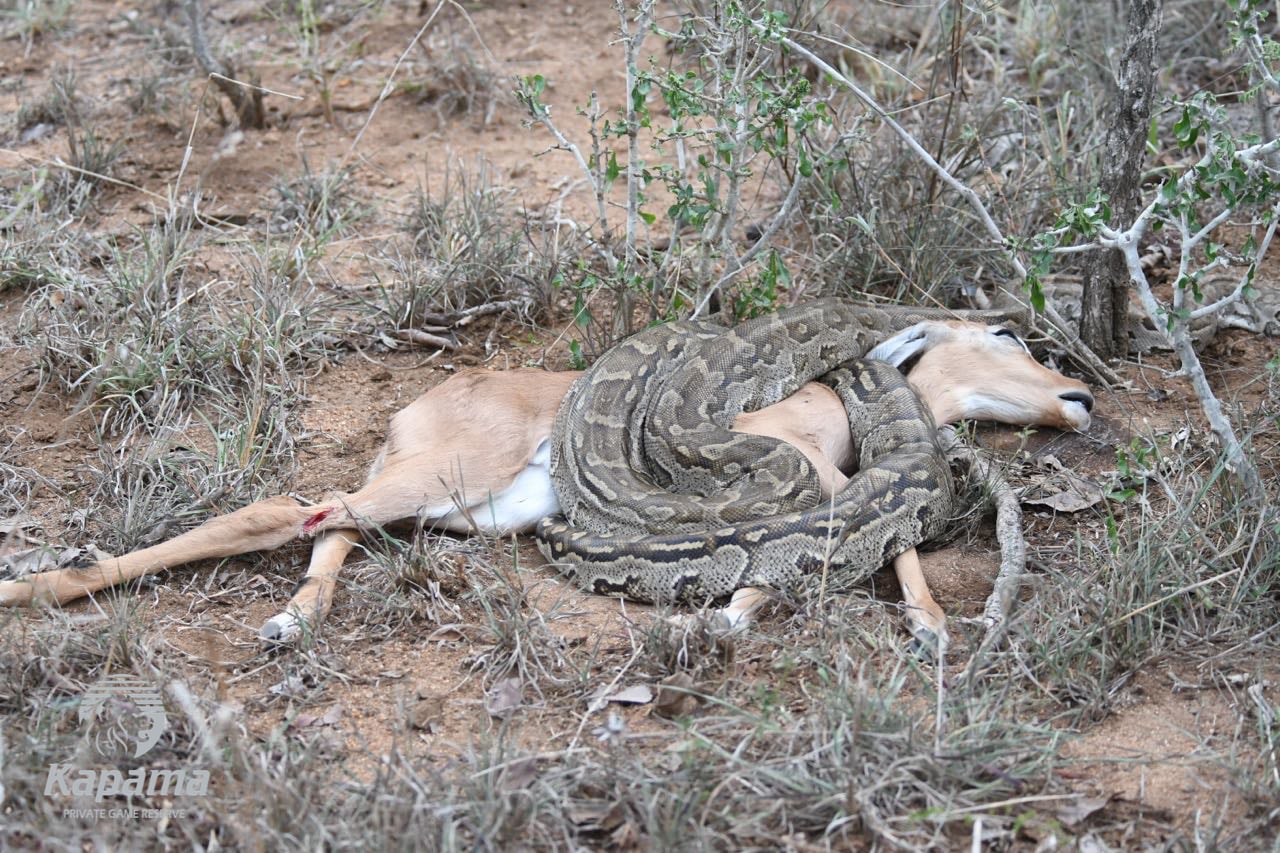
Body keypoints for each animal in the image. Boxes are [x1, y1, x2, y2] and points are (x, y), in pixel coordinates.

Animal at [0, 320, 1093, 649]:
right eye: (1002, 334)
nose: (1077, 393)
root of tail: (426, 398)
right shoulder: (800, 461)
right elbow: (876, 536)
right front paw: (931, 619)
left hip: (453, 508)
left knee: (330, 523)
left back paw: (297, 614)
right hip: (439, 473)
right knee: (290, 506)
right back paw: (40, 584)